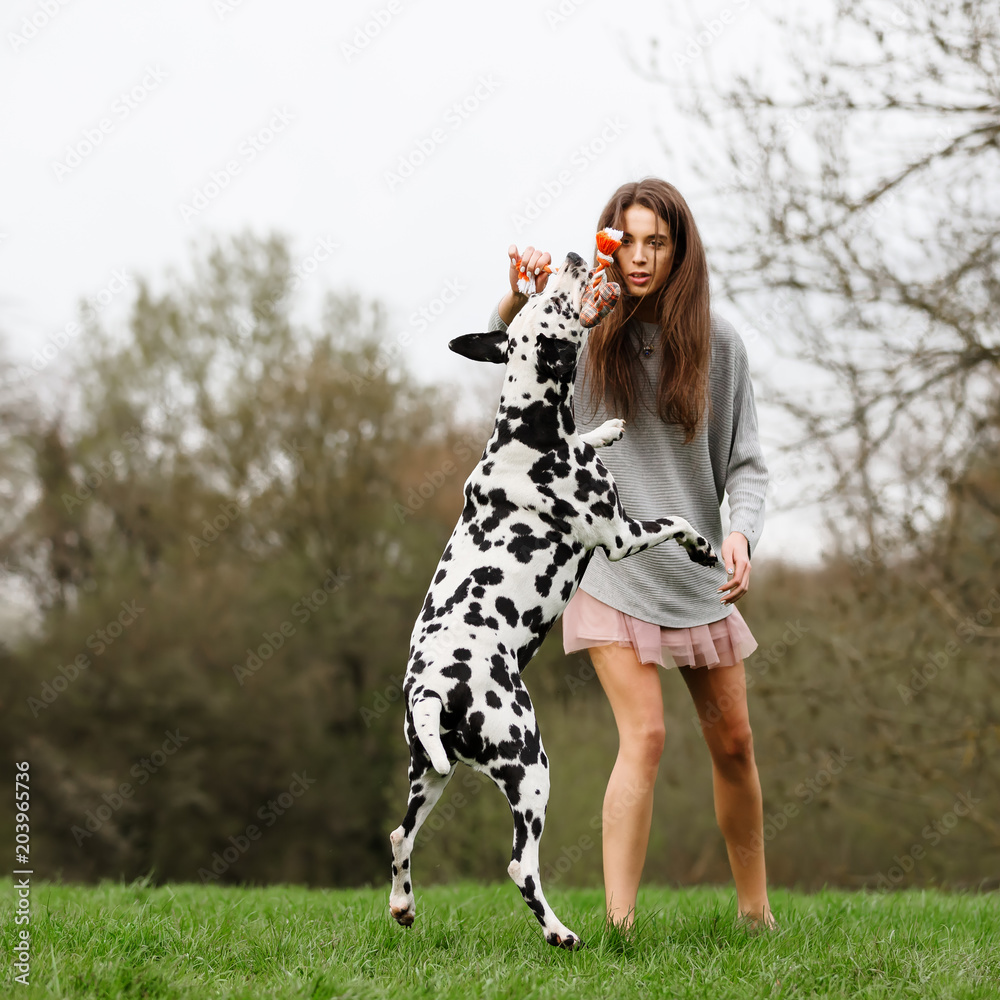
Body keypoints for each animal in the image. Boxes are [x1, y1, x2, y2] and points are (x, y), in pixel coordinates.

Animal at [386, 248, 716, 944]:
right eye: (556, 299)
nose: (567, 256)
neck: (530, 433)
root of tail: (431, 688)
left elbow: (592, 434)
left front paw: (609, 427)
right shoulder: (620, 534)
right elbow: (676, 522)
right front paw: (703, 547)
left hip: (429, 774)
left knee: (400, 836)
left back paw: (402, 906)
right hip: (530, 764)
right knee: (519, 864)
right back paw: (560, 932)